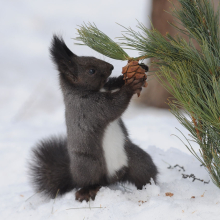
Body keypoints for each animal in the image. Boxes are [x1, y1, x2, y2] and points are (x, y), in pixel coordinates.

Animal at [28, 35, 158, 202]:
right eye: (91, 71)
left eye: (92, 56)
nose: (111, 66)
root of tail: (113, 178)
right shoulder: (90, 108)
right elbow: (114, 107)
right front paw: (130, 87)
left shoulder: (107, 87)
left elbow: (114, 83)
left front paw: (137, 70)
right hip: (89, 166)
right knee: (89, 182)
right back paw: (87, 192)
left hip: (137, 160)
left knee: (144, 172)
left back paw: (150, 189)